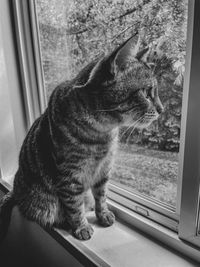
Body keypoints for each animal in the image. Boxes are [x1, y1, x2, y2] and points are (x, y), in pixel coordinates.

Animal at [0, 33, 163, 241]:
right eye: (146, 92)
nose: (162, 109)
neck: (103, 132)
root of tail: (15, 191)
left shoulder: (104, 169)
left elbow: (102, 195)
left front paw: (103, 214)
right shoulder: (69, 177)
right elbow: (74, 206)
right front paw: (81, 226)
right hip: (44, 202)